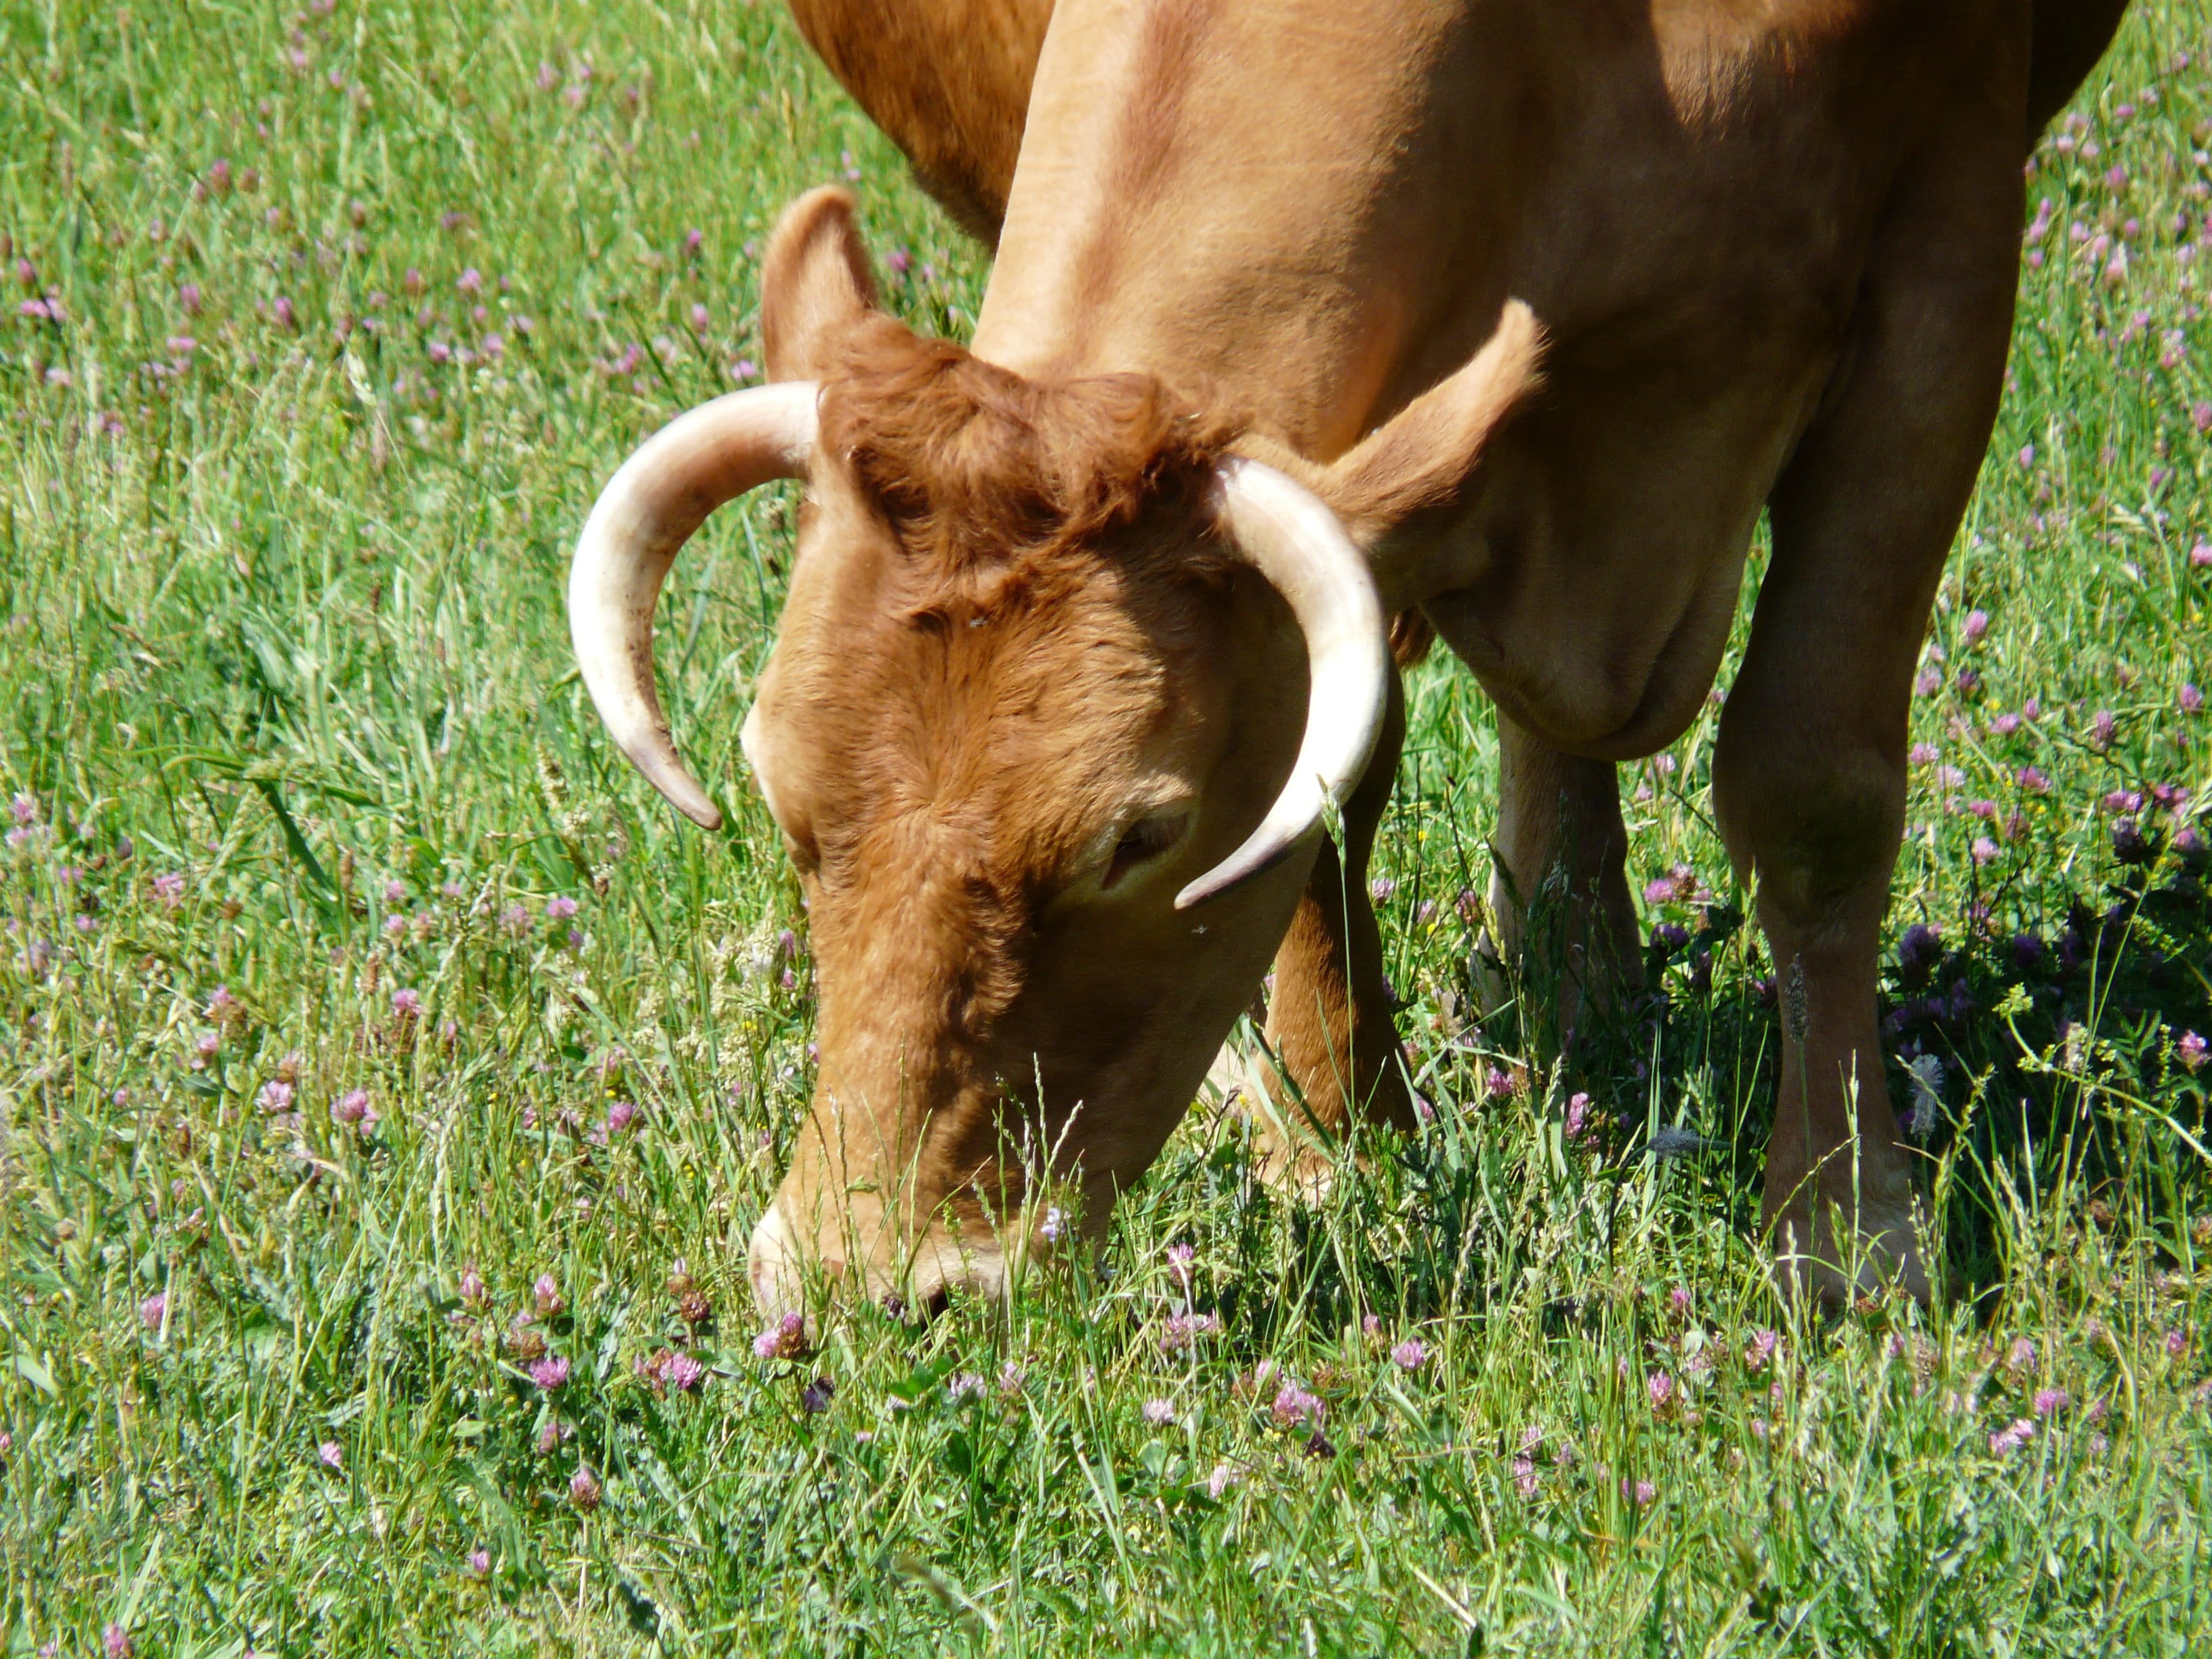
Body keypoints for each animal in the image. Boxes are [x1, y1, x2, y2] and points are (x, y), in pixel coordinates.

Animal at [568, 0, 2131, 1314]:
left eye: (1139, 839)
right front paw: (1335, 1141)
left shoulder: (1946, 224)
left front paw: (1847, 1231)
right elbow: (1329, 771)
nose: (863, 1285)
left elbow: (1812, 787)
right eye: (784, 805)